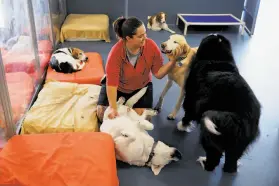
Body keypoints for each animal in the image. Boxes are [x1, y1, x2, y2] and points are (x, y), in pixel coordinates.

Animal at [178, 33, 262, 173]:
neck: (218, 59)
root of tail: (239, 118)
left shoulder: (190, 97)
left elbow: (187, 114)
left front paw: (182, 126)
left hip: (213, 136)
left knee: (214, 159)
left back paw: (204, 163)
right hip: (238, 145)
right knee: (231, 164)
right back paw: (231, 167)